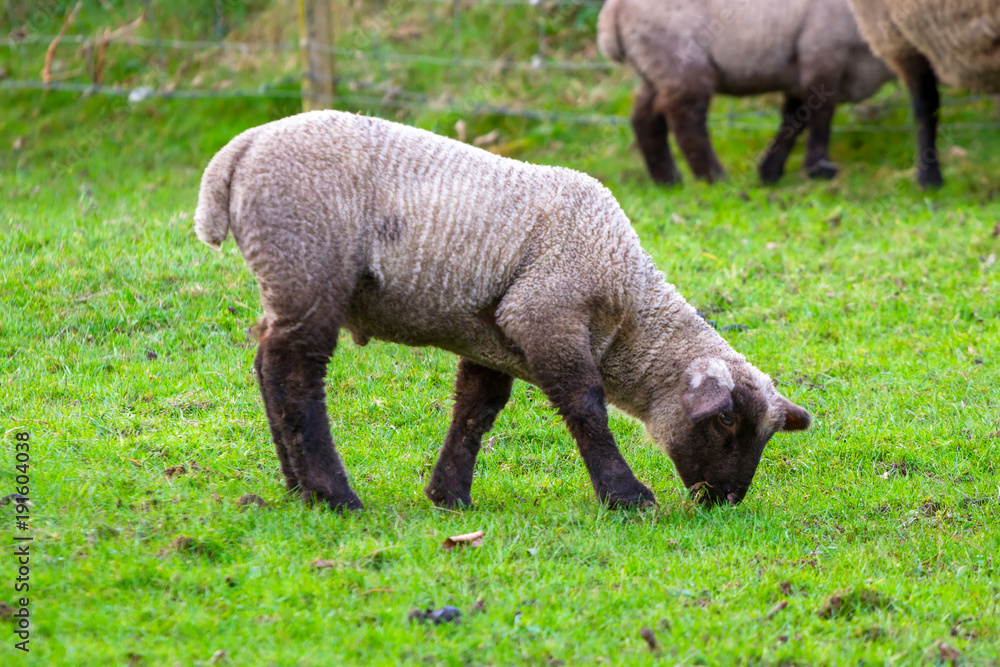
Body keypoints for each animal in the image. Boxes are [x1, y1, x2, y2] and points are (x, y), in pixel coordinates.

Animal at [195, 113, 812, 512]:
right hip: (309, 267)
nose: (727, 501)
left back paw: (298, 487)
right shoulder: (546, 313)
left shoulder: (491, 338)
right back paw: (334, 494)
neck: (628, 311)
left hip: (288, 277)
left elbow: (476, 410)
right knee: (295, 374)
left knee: (268, 363)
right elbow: (586, 406)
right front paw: (626, 497)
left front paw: (450, 496)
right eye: (728, 424)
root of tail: (239, 150)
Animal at [596, 0, 896, 185]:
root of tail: (612, 11)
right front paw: (819, 171)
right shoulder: (822, 53)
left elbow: (794, 122)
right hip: (683, 65)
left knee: (644, 118)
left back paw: (668, 180)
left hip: (654, 69)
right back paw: (714, 178)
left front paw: (770, 172)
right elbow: (821, 118)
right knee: (685, 121)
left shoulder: (798, 74)